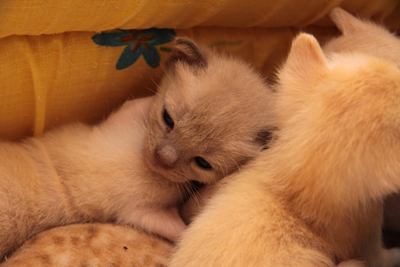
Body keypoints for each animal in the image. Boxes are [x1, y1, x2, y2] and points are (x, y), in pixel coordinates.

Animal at [0, 37, 276, 260]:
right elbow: (144, 102)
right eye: (168, 119)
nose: (162, 158)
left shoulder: (139, 213)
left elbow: (185, 231)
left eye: (203, 163)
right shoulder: (116, 123)